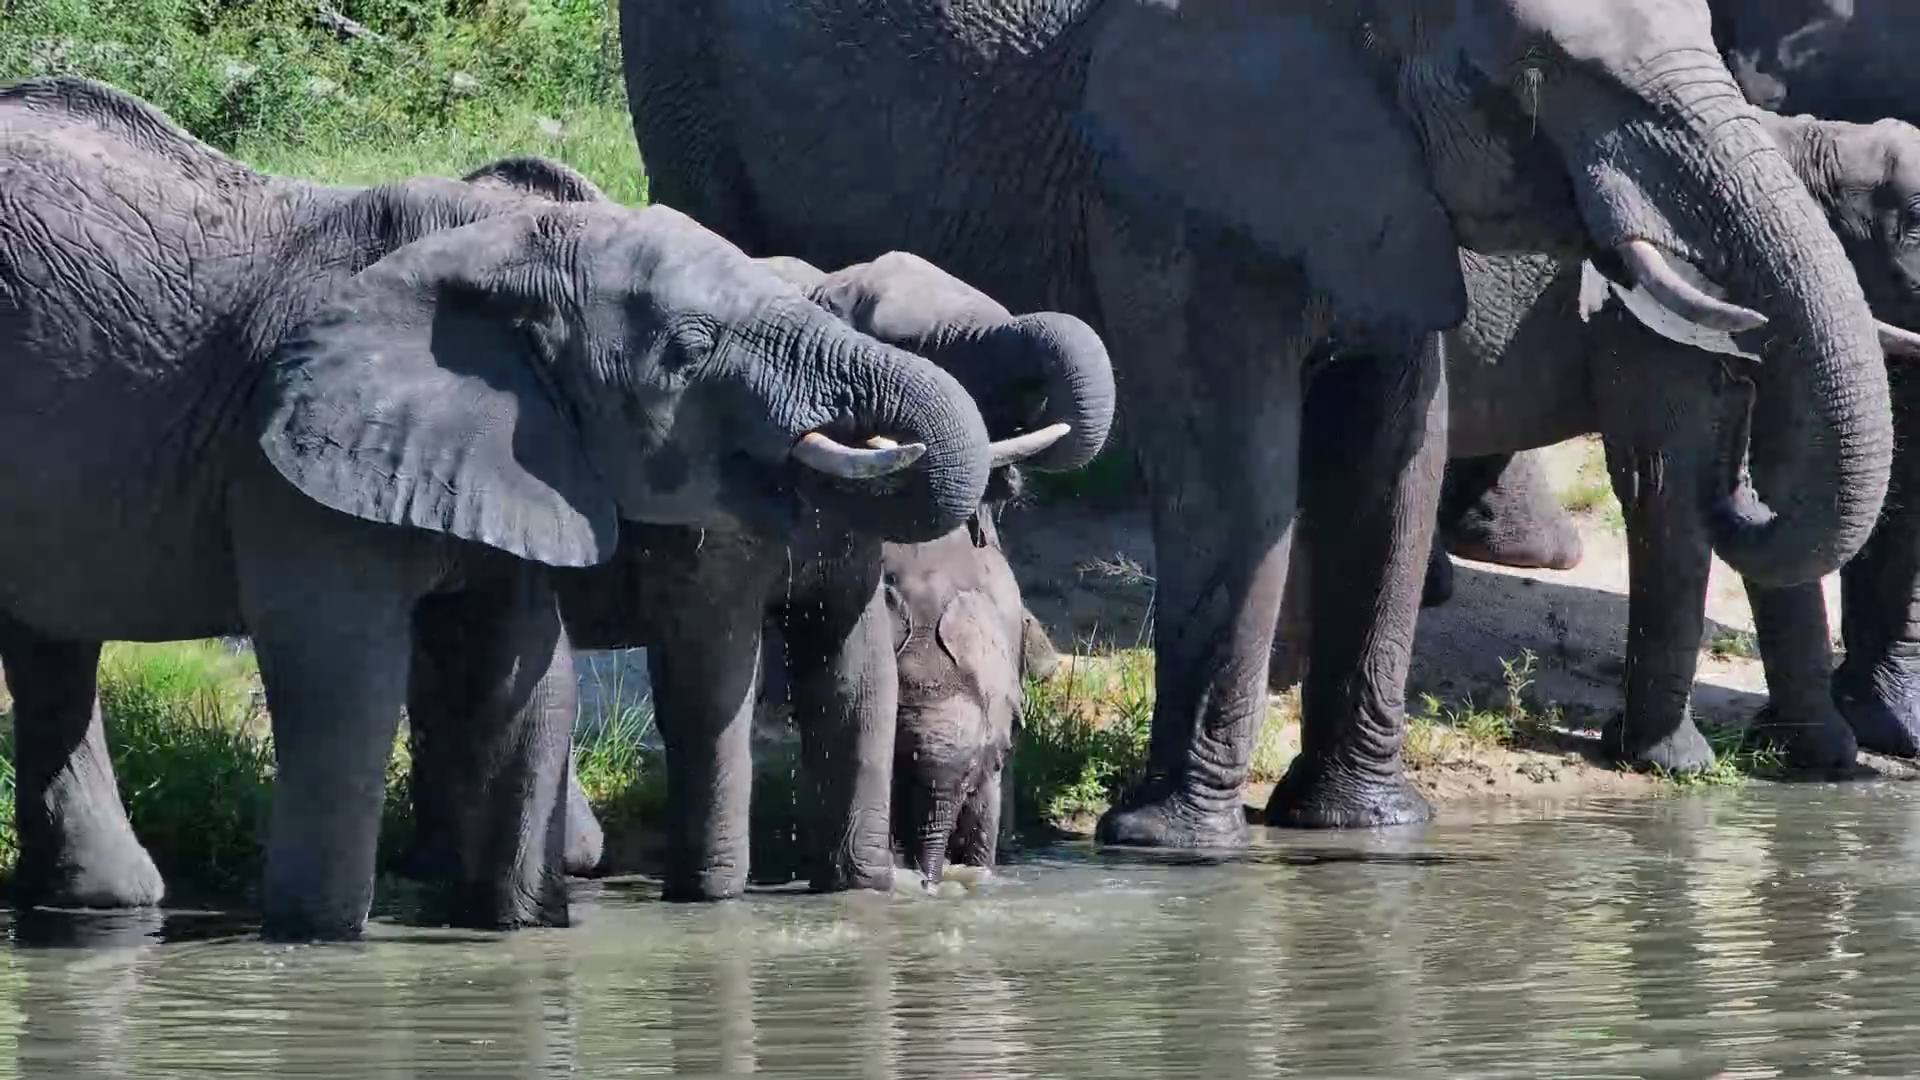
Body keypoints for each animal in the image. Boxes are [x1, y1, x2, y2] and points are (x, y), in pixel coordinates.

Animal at [0, 75, 1008, 940]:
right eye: (689, 349)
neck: (497, 249)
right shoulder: (288, 461)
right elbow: (344, 674)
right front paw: (315, 938)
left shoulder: (516, 451)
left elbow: (524, 670)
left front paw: (509, 931)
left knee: (51, 651)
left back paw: (105, 905)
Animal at [621, 0, 1905, 844]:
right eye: (1540, 73)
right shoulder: (1178, 163)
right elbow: (1236, 464)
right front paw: (1171, 844)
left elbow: (1392, 457)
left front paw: (1361, 830)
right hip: (687, 93)